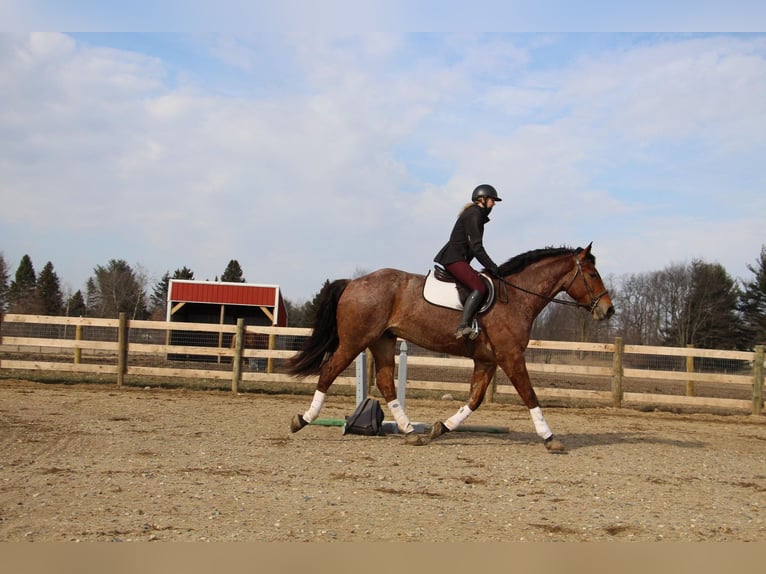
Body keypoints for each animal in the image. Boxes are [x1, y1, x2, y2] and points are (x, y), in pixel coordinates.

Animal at [288, 245, 616, 452]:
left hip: (383, 341)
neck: (517, 298)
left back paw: (410, 432)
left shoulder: (487, 361)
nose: (608, 310)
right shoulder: (511, 356)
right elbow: (529, 395)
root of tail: (354, 282)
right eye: (593, 275)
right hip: (355, 341)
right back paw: (302, 420)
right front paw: (549, 438)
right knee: (329, 371)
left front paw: (441, 427)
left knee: (385, 382)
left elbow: (475, 399)